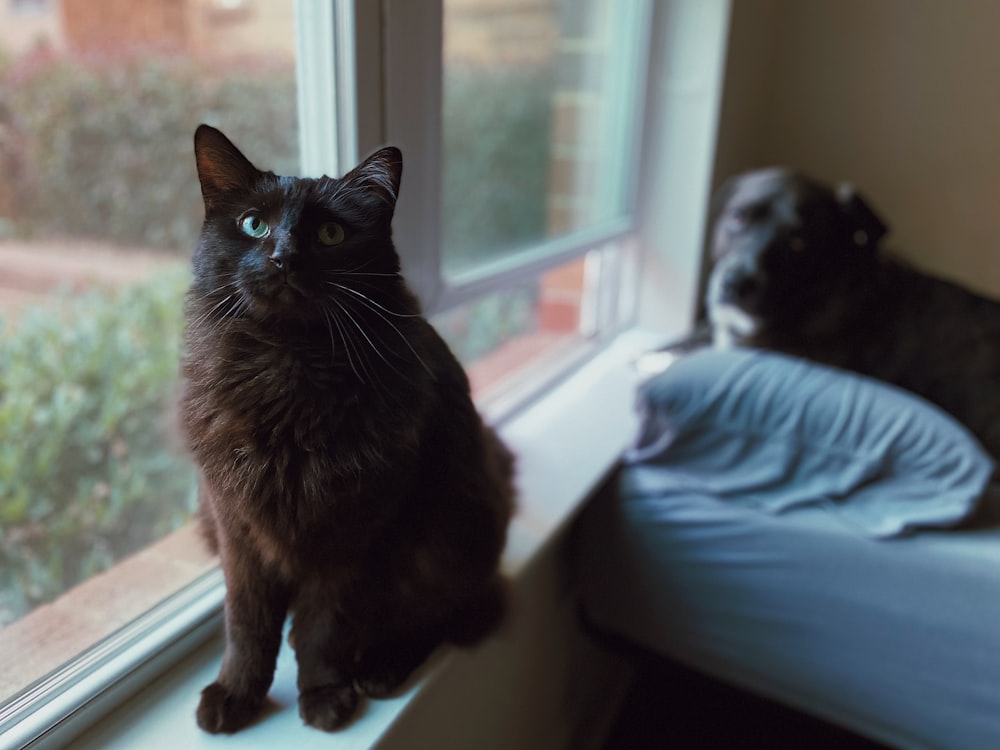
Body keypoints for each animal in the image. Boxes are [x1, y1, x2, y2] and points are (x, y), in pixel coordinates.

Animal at [179, 128, 516, 736]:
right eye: (253, 225)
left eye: (331, 234)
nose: (284, 257)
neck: (286, 375)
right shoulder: (237, 529)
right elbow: (247, 625)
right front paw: (236, 694)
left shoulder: (352, 536)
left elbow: (324, 628)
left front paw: (323, 694)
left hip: (447, 540)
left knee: (440, 615)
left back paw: (380, 666)